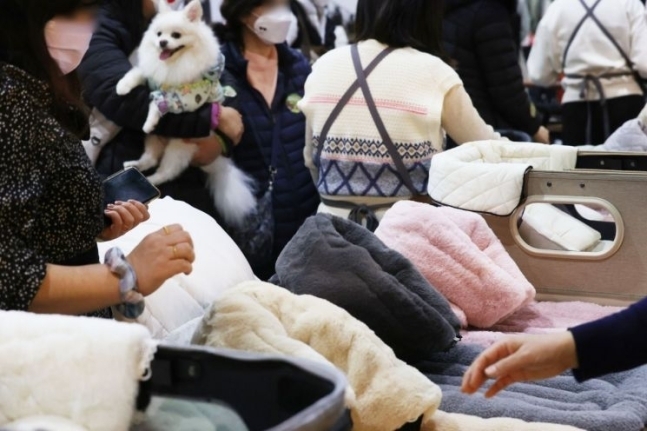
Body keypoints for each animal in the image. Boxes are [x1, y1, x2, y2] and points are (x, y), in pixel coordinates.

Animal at [115, 0, 256, 228]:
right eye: (159, 34)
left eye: (176, 35)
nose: (162, 42)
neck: (173, 65)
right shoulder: (152, 74)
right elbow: (136, 73)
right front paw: (122, 87)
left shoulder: (186, 98)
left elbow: (158, 102)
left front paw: (150, 119)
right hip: (154, 139)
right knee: (150, 159)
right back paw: (135, 166)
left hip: (179, 147)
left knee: (167, 171)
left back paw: (152, 182)